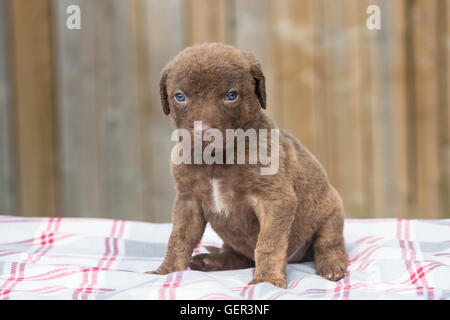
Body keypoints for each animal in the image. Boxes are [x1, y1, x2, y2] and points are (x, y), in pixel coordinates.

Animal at [148, 42, 348, 288]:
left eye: (231, 95)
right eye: (180, 96)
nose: (203, 133)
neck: (217, 159)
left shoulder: (274, 199)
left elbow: (268, 244)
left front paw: (267, 280)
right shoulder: (188, 201)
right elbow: (178, 238)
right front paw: (166, 271)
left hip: (330, 212)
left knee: (329, 243)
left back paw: (331, 266)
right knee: (240, 256)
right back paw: (211, 260)